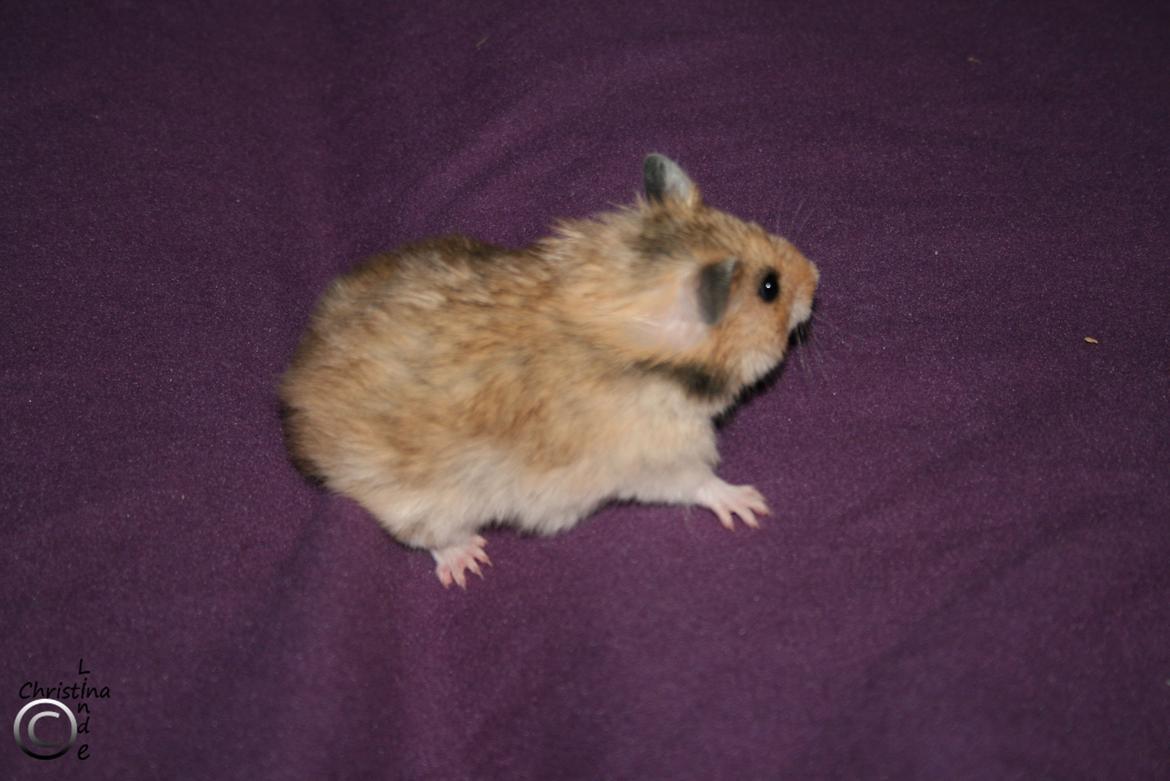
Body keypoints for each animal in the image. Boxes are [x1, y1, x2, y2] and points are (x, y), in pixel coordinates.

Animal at [279, 154, 819, 588]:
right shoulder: (657, 456)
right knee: (427, 534)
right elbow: (700, 482)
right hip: (423, 498)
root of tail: (295, 399)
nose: (817, 276)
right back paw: (467, 563)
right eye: (769, 288)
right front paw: (751, 504)